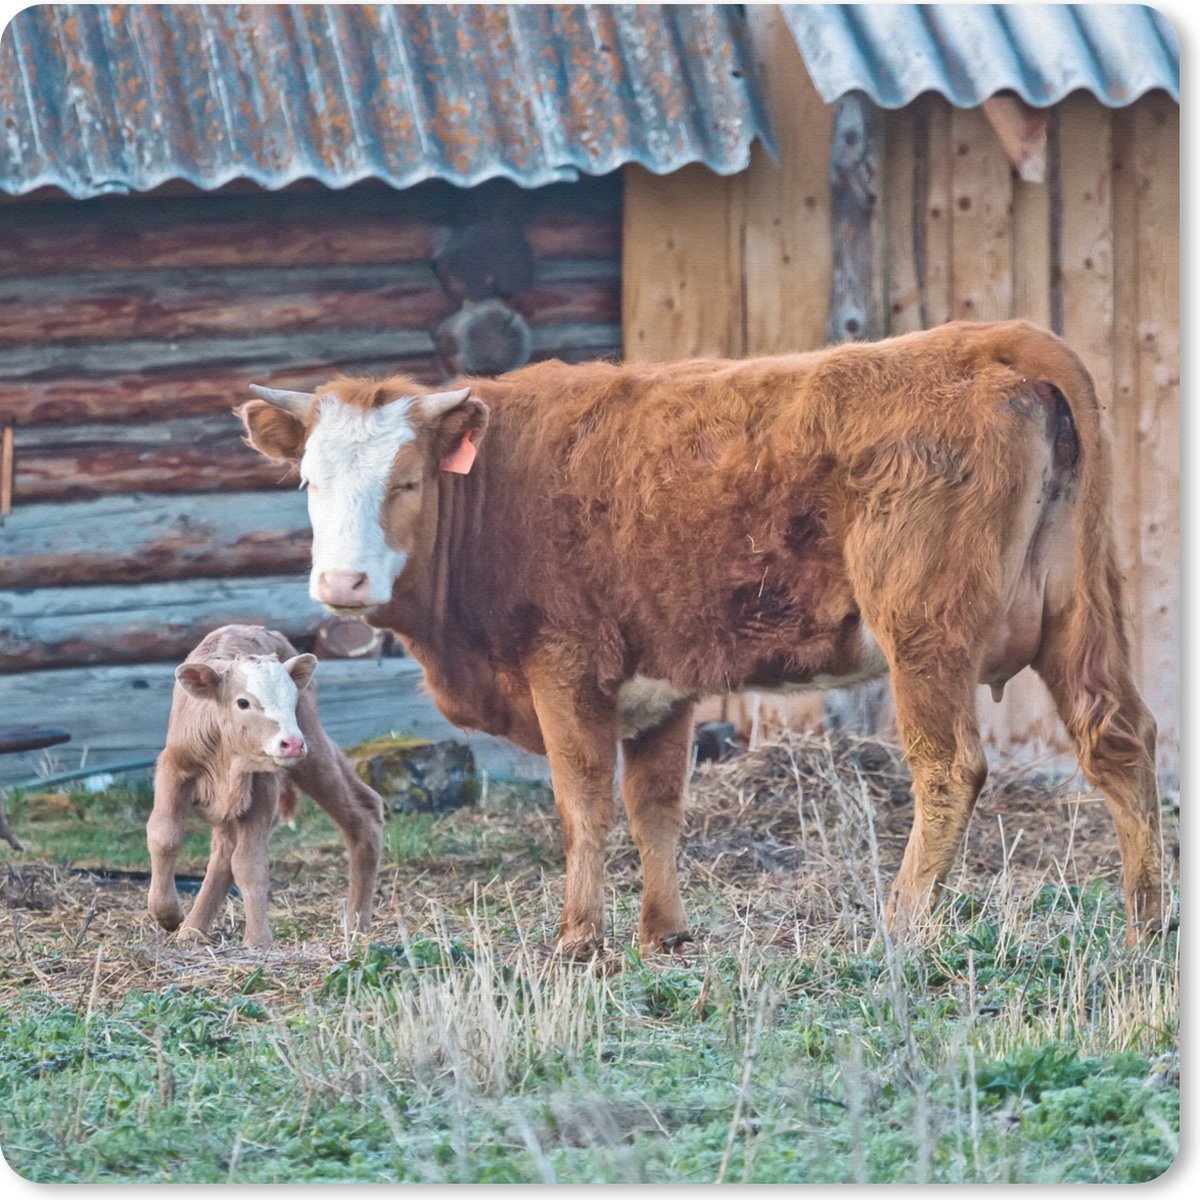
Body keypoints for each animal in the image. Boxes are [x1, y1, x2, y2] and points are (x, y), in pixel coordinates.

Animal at [146, 624, 385, 948]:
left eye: (291, 699)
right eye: (243, 702)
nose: (292, 743)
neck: (225, 756)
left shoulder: (263, 787)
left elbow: (249, 863)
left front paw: (258, 940)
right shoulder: (174, 766)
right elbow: (164, 835)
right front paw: (167, 914)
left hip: (311, 748)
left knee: (363, 812)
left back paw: (357, 922)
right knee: (223, 851)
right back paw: (193, 930)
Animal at [236, 320, 1164, 952]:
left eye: (407, 480)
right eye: (309, 482)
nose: (342, 584)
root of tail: (998, 339)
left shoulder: (566, 667)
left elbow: (583, 803)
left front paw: (581, 939)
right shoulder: (661, 686)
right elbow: (656, 806)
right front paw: (664, 933)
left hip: (924, 630)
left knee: (949, 769)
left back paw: (901, 920)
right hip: (1082, 609)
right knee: (1118, 739)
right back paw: (1146, 923)